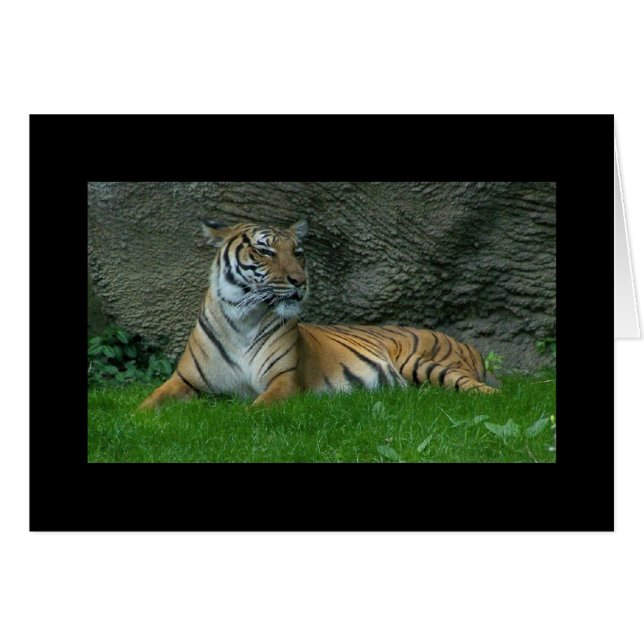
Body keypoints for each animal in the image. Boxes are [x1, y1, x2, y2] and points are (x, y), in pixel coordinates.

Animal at [138, 219, 498, 410]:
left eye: (298, 252)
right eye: (265, 251)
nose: (301, 281)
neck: (244, 318)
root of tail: (469, 345)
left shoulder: (283, 380)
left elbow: (256, 409)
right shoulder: (184, 380)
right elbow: (147, 404)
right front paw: (134, 420)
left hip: (420, 362)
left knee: (489, 393)